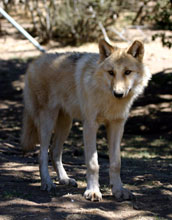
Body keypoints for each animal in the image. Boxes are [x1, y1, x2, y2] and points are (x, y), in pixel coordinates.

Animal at [21, 39, 150, 201]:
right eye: (111, 72)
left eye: (127, 72)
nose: (118, 94)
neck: (108, 98)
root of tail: (34, 62)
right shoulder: (90, 126)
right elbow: (93, 163)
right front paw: (93, 191)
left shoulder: (117, 126)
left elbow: (116, 163)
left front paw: (118, 190)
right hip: (48, 121)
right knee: (42, 154)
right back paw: (47, 183)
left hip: (66, 124)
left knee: (54, 151)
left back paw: (64, 179)